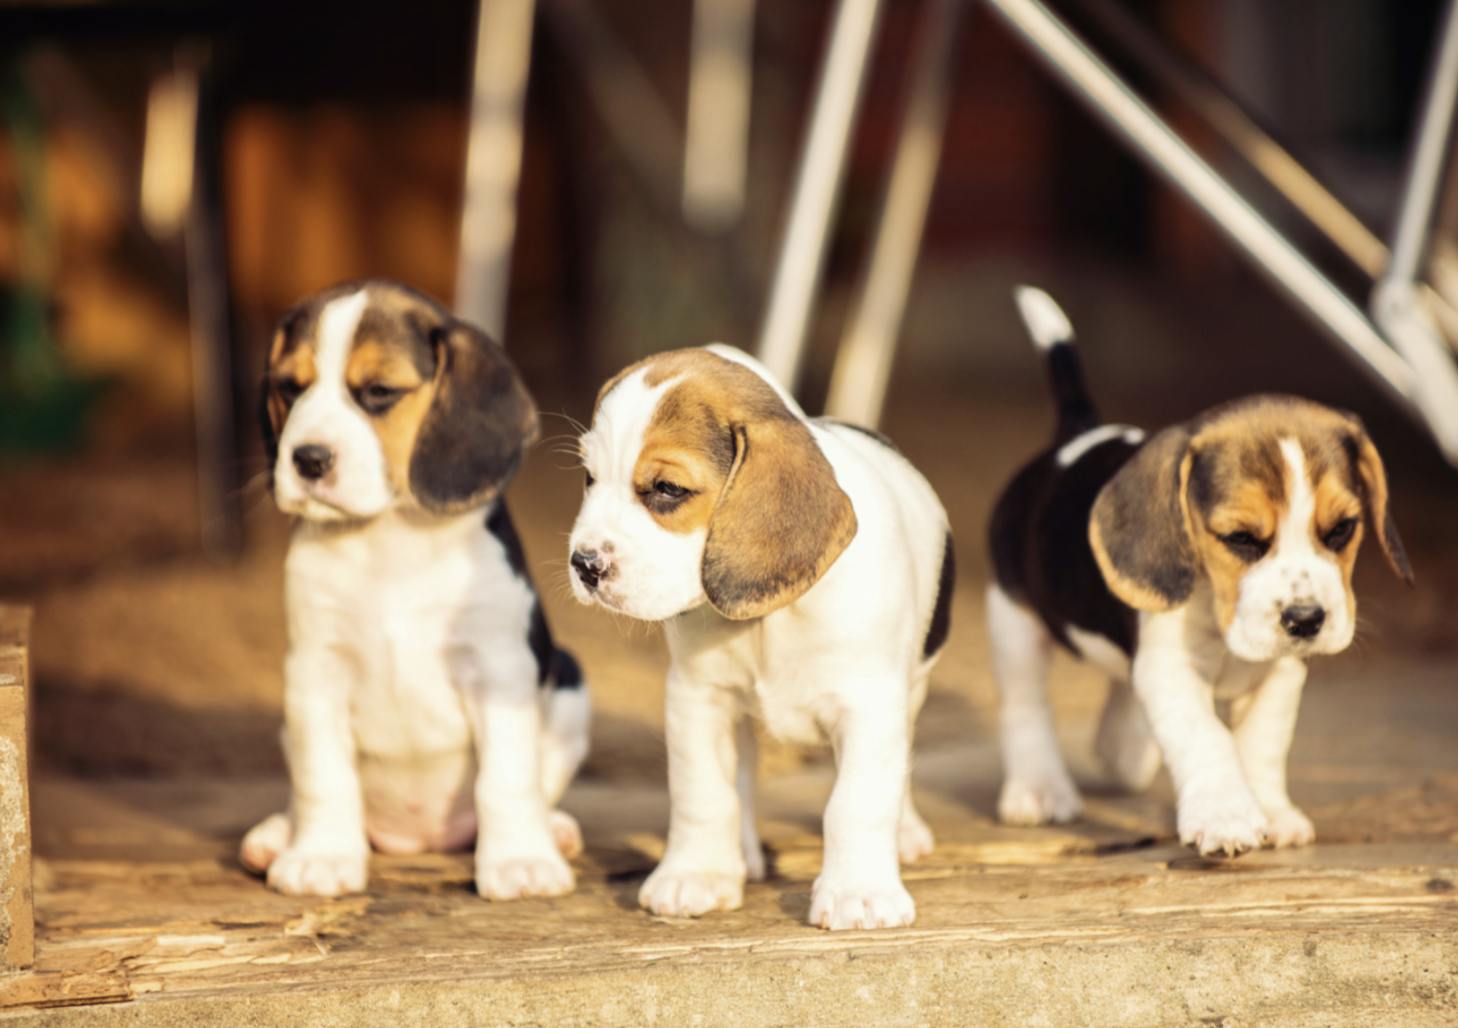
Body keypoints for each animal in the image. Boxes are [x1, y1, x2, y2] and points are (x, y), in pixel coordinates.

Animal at [239, 279, 586, 898]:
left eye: (378, 392)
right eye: (290, 388)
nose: (306, 459)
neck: (390, 539)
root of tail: (417, 840)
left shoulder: (499, 669)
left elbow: (506, 778)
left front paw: (520, 861)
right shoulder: (315, 672)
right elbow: (323, 776)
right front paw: (321, 856)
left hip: (570, 686)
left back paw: (553, 831)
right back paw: (279, 834)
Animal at [565, 344, 956, 933]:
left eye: (667, 489)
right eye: (589, 478)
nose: (584, 564)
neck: (770, 621)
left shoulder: (869, 707)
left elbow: (858, 801)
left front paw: (859, 893)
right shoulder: (698, 700)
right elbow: (704, 793)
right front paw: (698, 876)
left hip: (911, 692)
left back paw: (904, 834)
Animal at [985, 290, 1405, 857]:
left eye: (1341, 529)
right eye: (1241, 538)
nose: (1306, 620)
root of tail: (1076, 439)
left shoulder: (1280, 674)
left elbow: (1263, 744)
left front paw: (1273, 812)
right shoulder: (1172, 669)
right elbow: (1208, 737)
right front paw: (1225, 816)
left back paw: (1124, 748)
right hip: (1014, 621)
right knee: (1025, 705)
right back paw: (1037, 791)